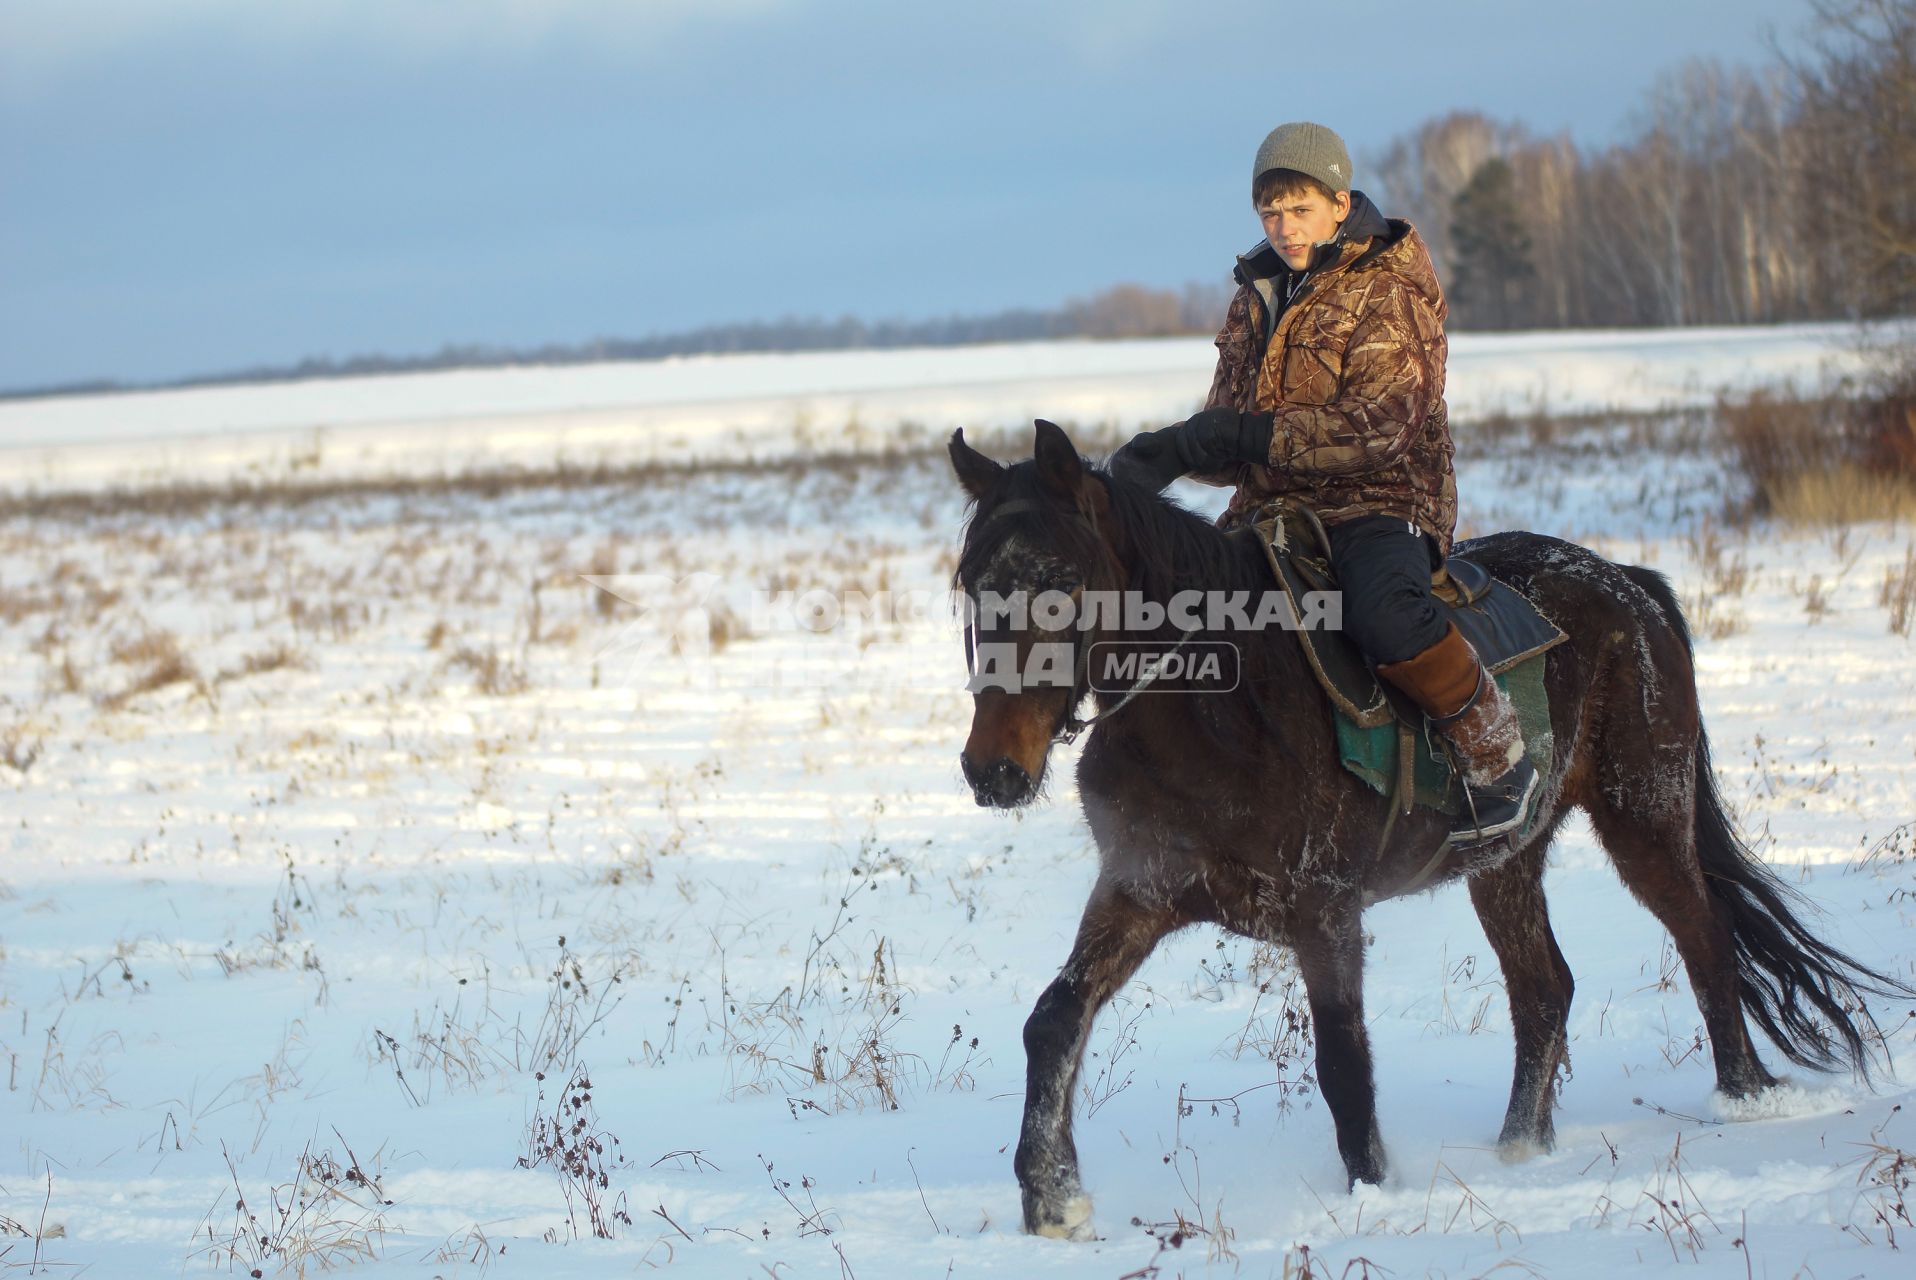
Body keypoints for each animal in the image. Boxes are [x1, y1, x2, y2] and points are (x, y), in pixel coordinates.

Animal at [950, 419, 1908, 1241]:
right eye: (971, 585)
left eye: (1061, 581)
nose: (993, 769)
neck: (1224, 708)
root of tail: (1630, 585)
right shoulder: (1139, 891)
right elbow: (1053, 1022)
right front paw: (1053, 1200)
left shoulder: (1325, 913)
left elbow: (1343, 1064)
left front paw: (1372, 1195)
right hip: (1506, 862)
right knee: (1545, 988)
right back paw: (1520, 1148)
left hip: (1644, 815)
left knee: (1704, 938)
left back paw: (1744, 1103)